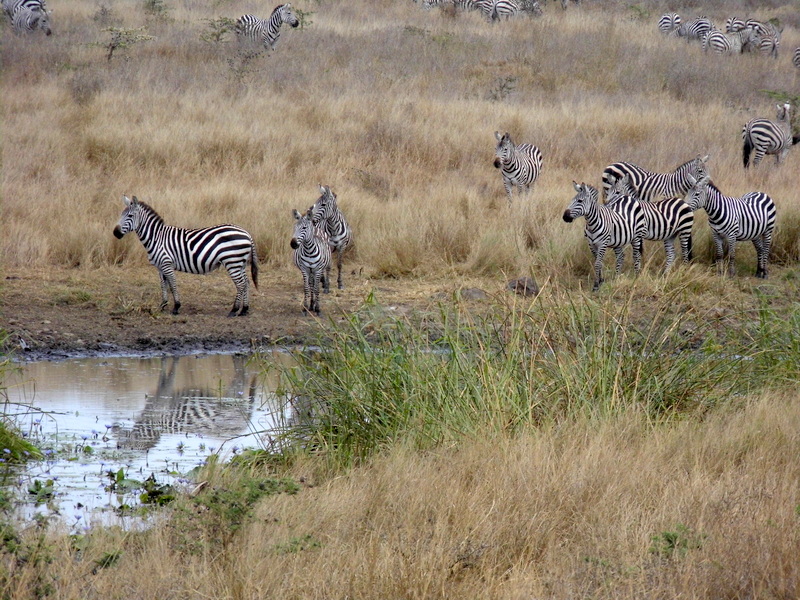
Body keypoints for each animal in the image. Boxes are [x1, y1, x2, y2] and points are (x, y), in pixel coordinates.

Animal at [113, 195, 258, 316]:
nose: (115, 233)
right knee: (246, 282)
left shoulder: (166, 263)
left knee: (240, 284)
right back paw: (244, 310)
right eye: (121, 215)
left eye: (130, 216)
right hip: (240, 263)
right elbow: (164, 285)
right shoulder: (160, 266)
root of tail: (247, 233)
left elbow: (173, 285)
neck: (156, 237)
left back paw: (234, 310)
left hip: (232, 261)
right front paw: (162, 305)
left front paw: (176, 307)